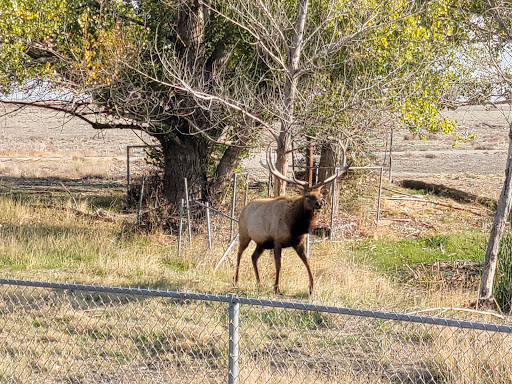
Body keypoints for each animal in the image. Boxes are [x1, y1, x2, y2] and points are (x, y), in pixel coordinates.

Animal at [234, 146, 350, 296]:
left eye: (320, 194)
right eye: (307, 195)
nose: (320, 203)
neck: (296, 226)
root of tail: (244, 209)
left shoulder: (298, 242)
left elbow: (308, 262)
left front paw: (312, 288)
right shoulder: (277, 240)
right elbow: (279, 263)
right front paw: (277, 287)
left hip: (262, 243)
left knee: (253, 257)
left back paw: (259, 283)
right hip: (244, 234)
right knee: (239, 254)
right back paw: (236, 280)